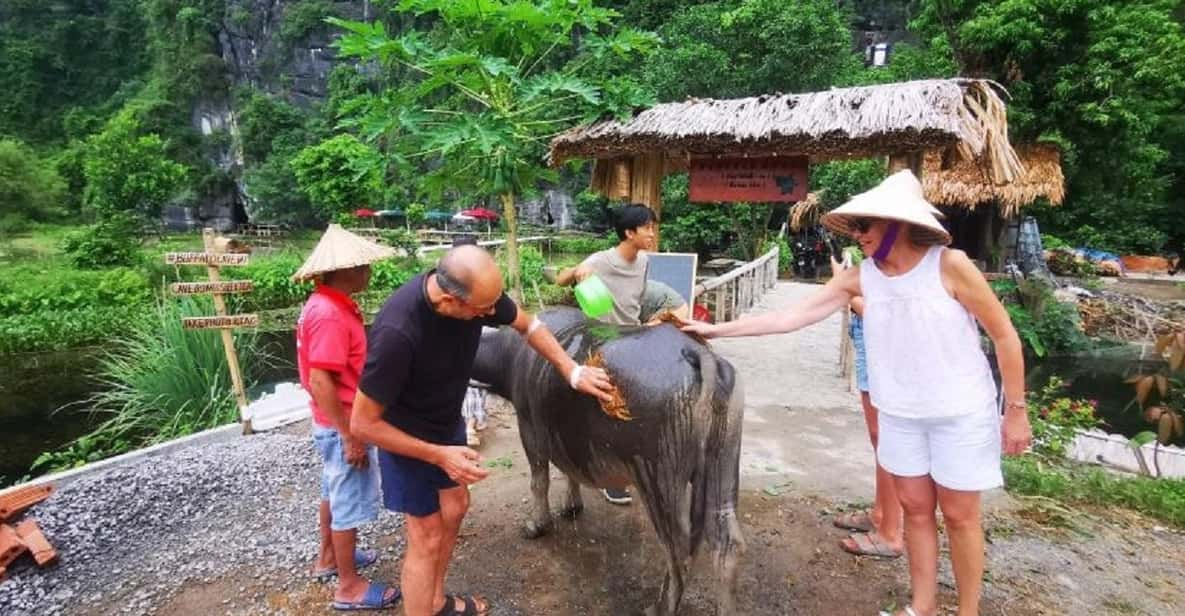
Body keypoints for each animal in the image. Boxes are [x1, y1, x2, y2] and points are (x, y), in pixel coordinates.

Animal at [469, 308, 739, 616]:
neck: (512, 351)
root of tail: (693, 352)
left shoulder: (529, 428)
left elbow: (539, 481)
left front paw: (537, 525)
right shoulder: (565, 436)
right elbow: (570, 470)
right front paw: (571, 506)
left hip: (659, 475)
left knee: (679, 551)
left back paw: (660, 607)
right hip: (722, 464)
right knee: (726, 543)